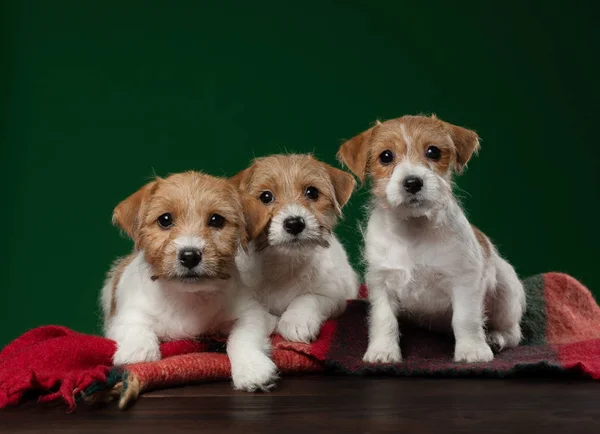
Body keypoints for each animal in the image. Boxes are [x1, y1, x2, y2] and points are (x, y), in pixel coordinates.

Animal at [99, 171, 278, 392]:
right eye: (165, 219)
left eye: (216, 220)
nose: (190, 256)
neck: (188, 296)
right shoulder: (122, 317)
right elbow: (136, 325)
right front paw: (138, 350)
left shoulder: (255, 313)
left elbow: (242, 336)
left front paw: (252, 367)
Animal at [232, 154, 358, 344]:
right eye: (266, 196)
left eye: (312, 192)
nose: (294, 223)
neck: (284, 264)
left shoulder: (334, 297)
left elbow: (307, 298)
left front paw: (296, 321)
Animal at [338, 114, 524, 362]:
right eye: (386, 156)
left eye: (433, 151)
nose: (412, 182)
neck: (414, 228)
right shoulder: (381, 281)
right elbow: (384, 319)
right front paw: (383, 350)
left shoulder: (464, 280)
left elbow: (466, 318)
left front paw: (472, 350)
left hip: (507, 292)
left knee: (514, 331)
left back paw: (497, 338)